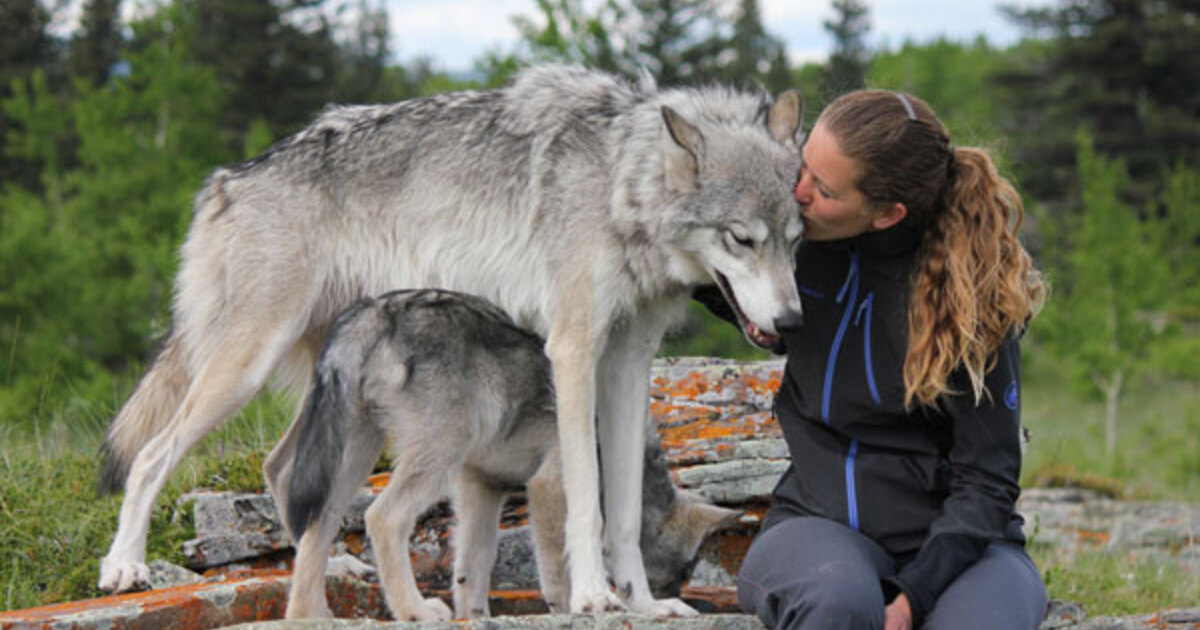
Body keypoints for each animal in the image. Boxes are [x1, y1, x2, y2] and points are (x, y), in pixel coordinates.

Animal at [277, 290, 739, 619]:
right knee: (382, 518)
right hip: (434, 456)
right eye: (684, 572)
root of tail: (375, 310)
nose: (664, 598)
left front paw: (474, 615)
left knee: (316, 528)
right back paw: (415, 611)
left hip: (355, 458)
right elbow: (557, 567)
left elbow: (474, 565)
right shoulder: (547, 484)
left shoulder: (481, 485)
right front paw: (573, 607)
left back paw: (311, 616)